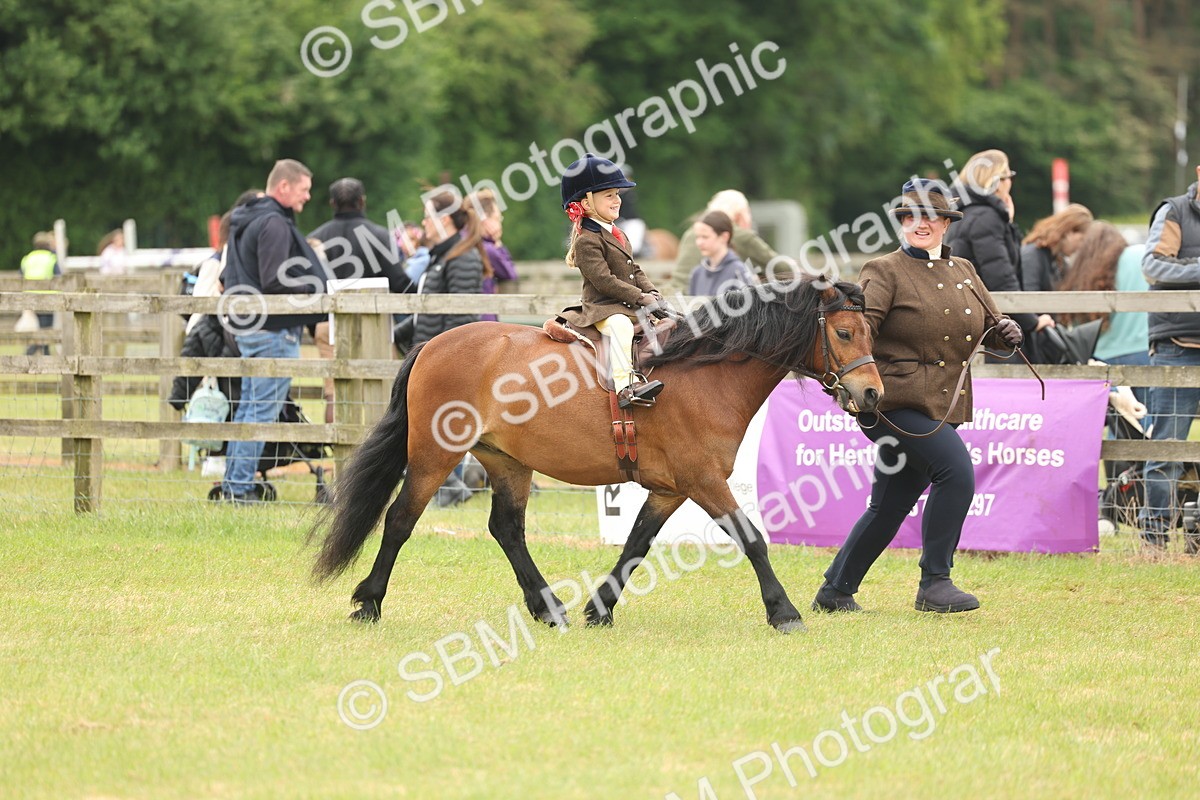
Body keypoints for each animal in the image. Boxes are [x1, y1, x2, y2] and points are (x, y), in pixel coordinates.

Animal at [311, 278, 883, 633]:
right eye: (845, 332)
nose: (873, 394)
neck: (704, 372)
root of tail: (433, 344)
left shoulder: (669, 489)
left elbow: (635, 544)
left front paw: (599, 609)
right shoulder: (703, 481)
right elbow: (753, 540)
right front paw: (783, 612)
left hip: (506, 461)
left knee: (507, 530)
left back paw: (549, 609)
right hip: (435, 455)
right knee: (401, 518)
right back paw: (369, 601)